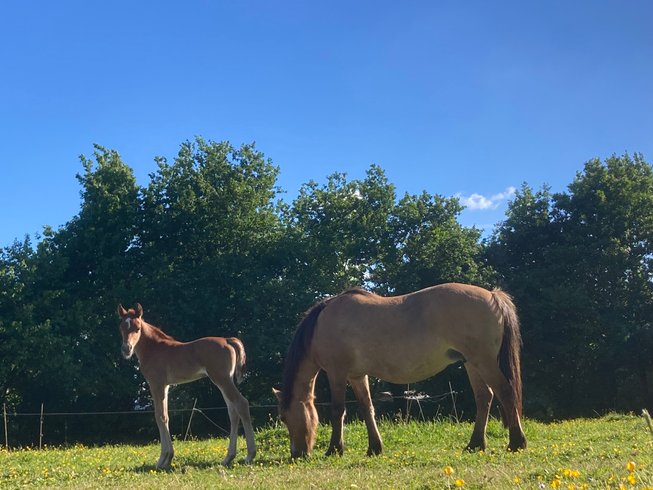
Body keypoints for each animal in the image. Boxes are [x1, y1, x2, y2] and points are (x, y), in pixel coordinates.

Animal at [117, 304, 256, 468]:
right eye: (121, 327)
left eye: (137, 328)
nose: (126, 349)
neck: (154, 349)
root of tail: (228, 340)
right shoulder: (165, 386)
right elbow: (166, 416)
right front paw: (168, 458)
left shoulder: (156, 384)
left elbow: (160, 416)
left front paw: (163, 459)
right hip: (225, 380)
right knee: (233, 411)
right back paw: (228, 457)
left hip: (222, 379)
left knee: (241, 404)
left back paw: (250, 455)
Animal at [272, 283, 527, 458]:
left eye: (284, 417)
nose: (297, 454)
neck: (321, 324)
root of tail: (493, 295)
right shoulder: (357, 376)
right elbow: (367, 408)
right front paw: (374, 448)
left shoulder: (337, 373)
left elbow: (338, 411)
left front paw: (334, 449)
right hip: (471, 363)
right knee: (485, 398)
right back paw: (475, 445)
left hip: (483, 361)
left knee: (505, 392)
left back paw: (516, 442)